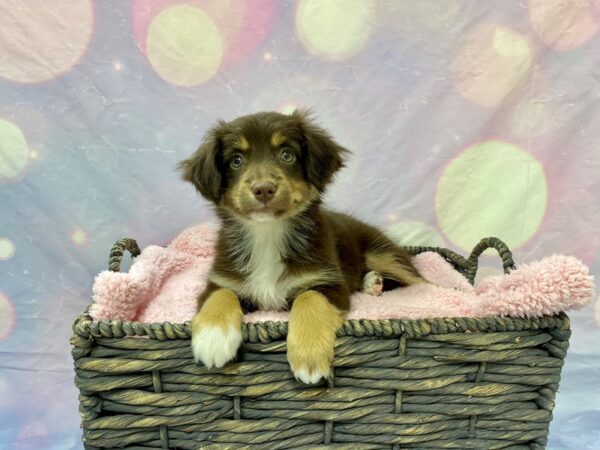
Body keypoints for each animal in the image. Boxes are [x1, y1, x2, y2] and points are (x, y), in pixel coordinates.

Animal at [179, 109, 426, 384]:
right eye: (236, 160)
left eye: (287, 155)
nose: (263, 189)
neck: (268, 234)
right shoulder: (221, 279)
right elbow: (222, 294)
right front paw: (213, 338)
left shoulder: (329, 281)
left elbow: (309, 297)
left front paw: (309, 356)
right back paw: (373, 283)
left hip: (382, 254)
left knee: (420, 279)